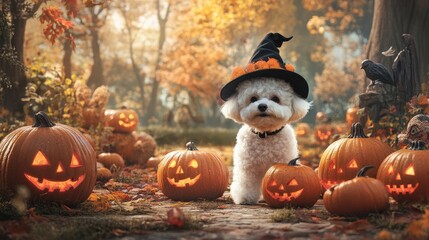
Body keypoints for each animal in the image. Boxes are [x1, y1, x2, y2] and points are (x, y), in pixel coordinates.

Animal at [219, 32, 310, 204]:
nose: (262, 106)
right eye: (253, 98)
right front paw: (245, 198)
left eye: (275, 99)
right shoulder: (248, 167)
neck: (266, 134)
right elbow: (246, 182)